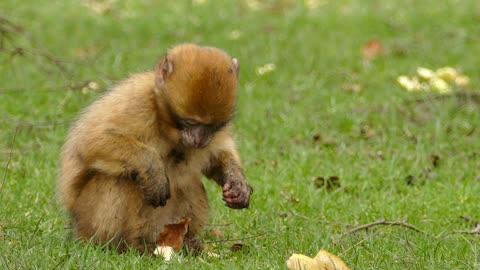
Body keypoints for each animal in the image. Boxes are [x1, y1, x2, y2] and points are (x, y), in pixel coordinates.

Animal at [57, 42, 253, 253]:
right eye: (190, 122)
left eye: (212, 126)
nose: (200, 140)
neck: (166, 125)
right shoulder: (137, 103)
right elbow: (91, 141)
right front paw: (151, 167)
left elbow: (216, 155)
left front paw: (237, 182)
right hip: (88, 220)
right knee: (116, 179)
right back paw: (122, 247)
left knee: (189, 182)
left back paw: (186, 241)